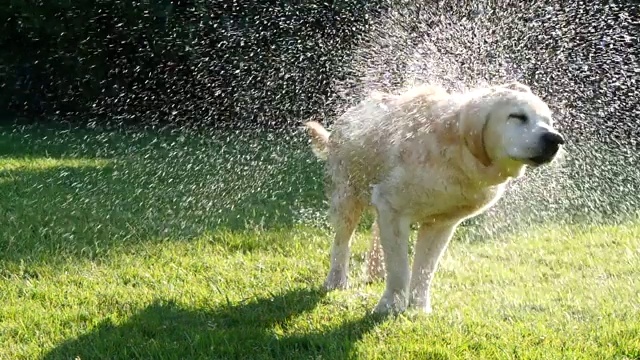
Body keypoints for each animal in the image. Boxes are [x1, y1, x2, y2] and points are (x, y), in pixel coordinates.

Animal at [302, 81, 564, 316]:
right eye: (517, 116)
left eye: (548, 121)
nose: (555, 139)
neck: (460, 152)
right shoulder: (393, 208)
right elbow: (400, 267)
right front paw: (389, 307)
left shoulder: (440, 223)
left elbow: (425, 269)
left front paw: (418, 309)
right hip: (347, 196)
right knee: (342, 241)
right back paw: (336, 281)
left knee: (376, 230)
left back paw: (376, 272)